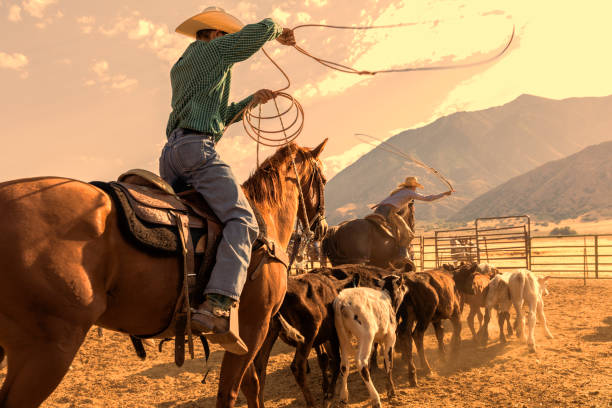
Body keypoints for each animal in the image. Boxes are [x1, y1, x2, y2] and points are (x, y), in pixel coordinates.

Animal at [0, 139, 326, 406]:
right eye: (322, 178)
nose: (321, 227)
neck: (265, 221)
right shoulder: (253, 325)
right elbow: (234, 391)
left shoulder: (245, 332)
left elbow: (250, 385)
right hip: (48, 349)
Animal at [332, 274, 408, 408]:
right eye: (401, 285)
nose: (407, 287)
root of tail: (342, 301)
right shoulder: (390, 337)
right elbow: (388, 363)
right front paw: (391, 392)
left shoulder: (375, 341)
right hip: (366, 336)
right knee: (361, 363)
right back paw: (375, 399)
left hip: (343, 336)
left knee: (344, 365)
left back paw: (343, 397)